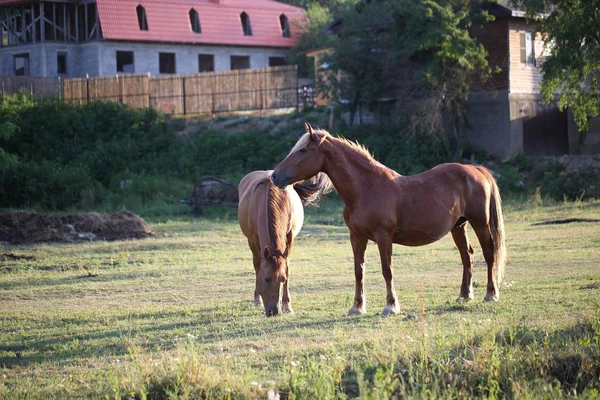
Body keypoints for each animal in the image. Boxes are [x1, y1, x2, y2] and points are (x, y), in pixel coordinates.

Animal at [239, 169, 332, 316]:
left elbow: (287, 268)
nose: (273, 311)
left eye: (282, 279)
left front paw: (287, 306)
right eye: (266, 279)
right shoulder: (253, 241)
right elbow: (258, 267)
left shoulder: (290, 238)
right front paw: (257, 299)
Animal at [272, 123, 506, 318]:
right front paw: (357, 307)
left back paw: (490, 294)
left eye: (303, 150)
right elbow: (359, 271)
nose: (275, 175)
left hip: (480, 223)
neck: (367, 188)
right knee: (467, 256)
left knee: (489, 252)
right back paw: (464, 295)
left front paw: (390, 306)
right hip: (459, 226)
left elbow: (387, 270)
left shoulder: (383, 237)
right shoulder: (356, 237)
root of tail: (476, 169)